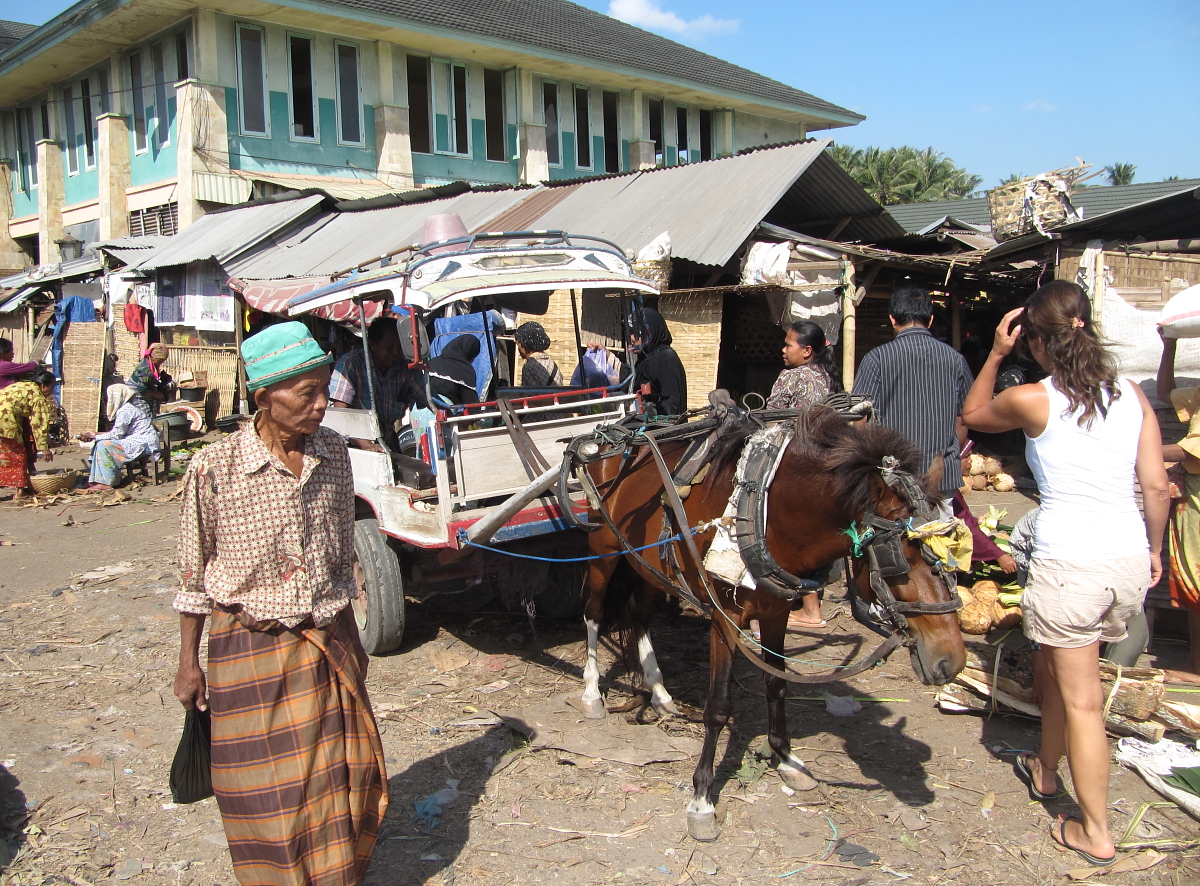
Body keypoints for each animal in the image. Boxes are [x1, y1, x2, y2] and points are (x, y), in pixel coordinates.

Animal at [568, 403, 964, 840]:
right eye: (900, 560)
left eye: (954, 549)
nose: (951, 661)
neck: (763, 512)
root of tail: (619, 433)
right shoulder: (725, 620)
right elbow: (718, 706)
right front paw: (702, 798)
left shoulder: (777, 612)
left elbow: (777, 685)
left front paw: (786, 758)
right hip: (602, 551)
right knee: (593, 612)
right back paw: (592, 693)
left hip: (647, 563)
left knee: (639, 615)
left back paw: (659, 693)